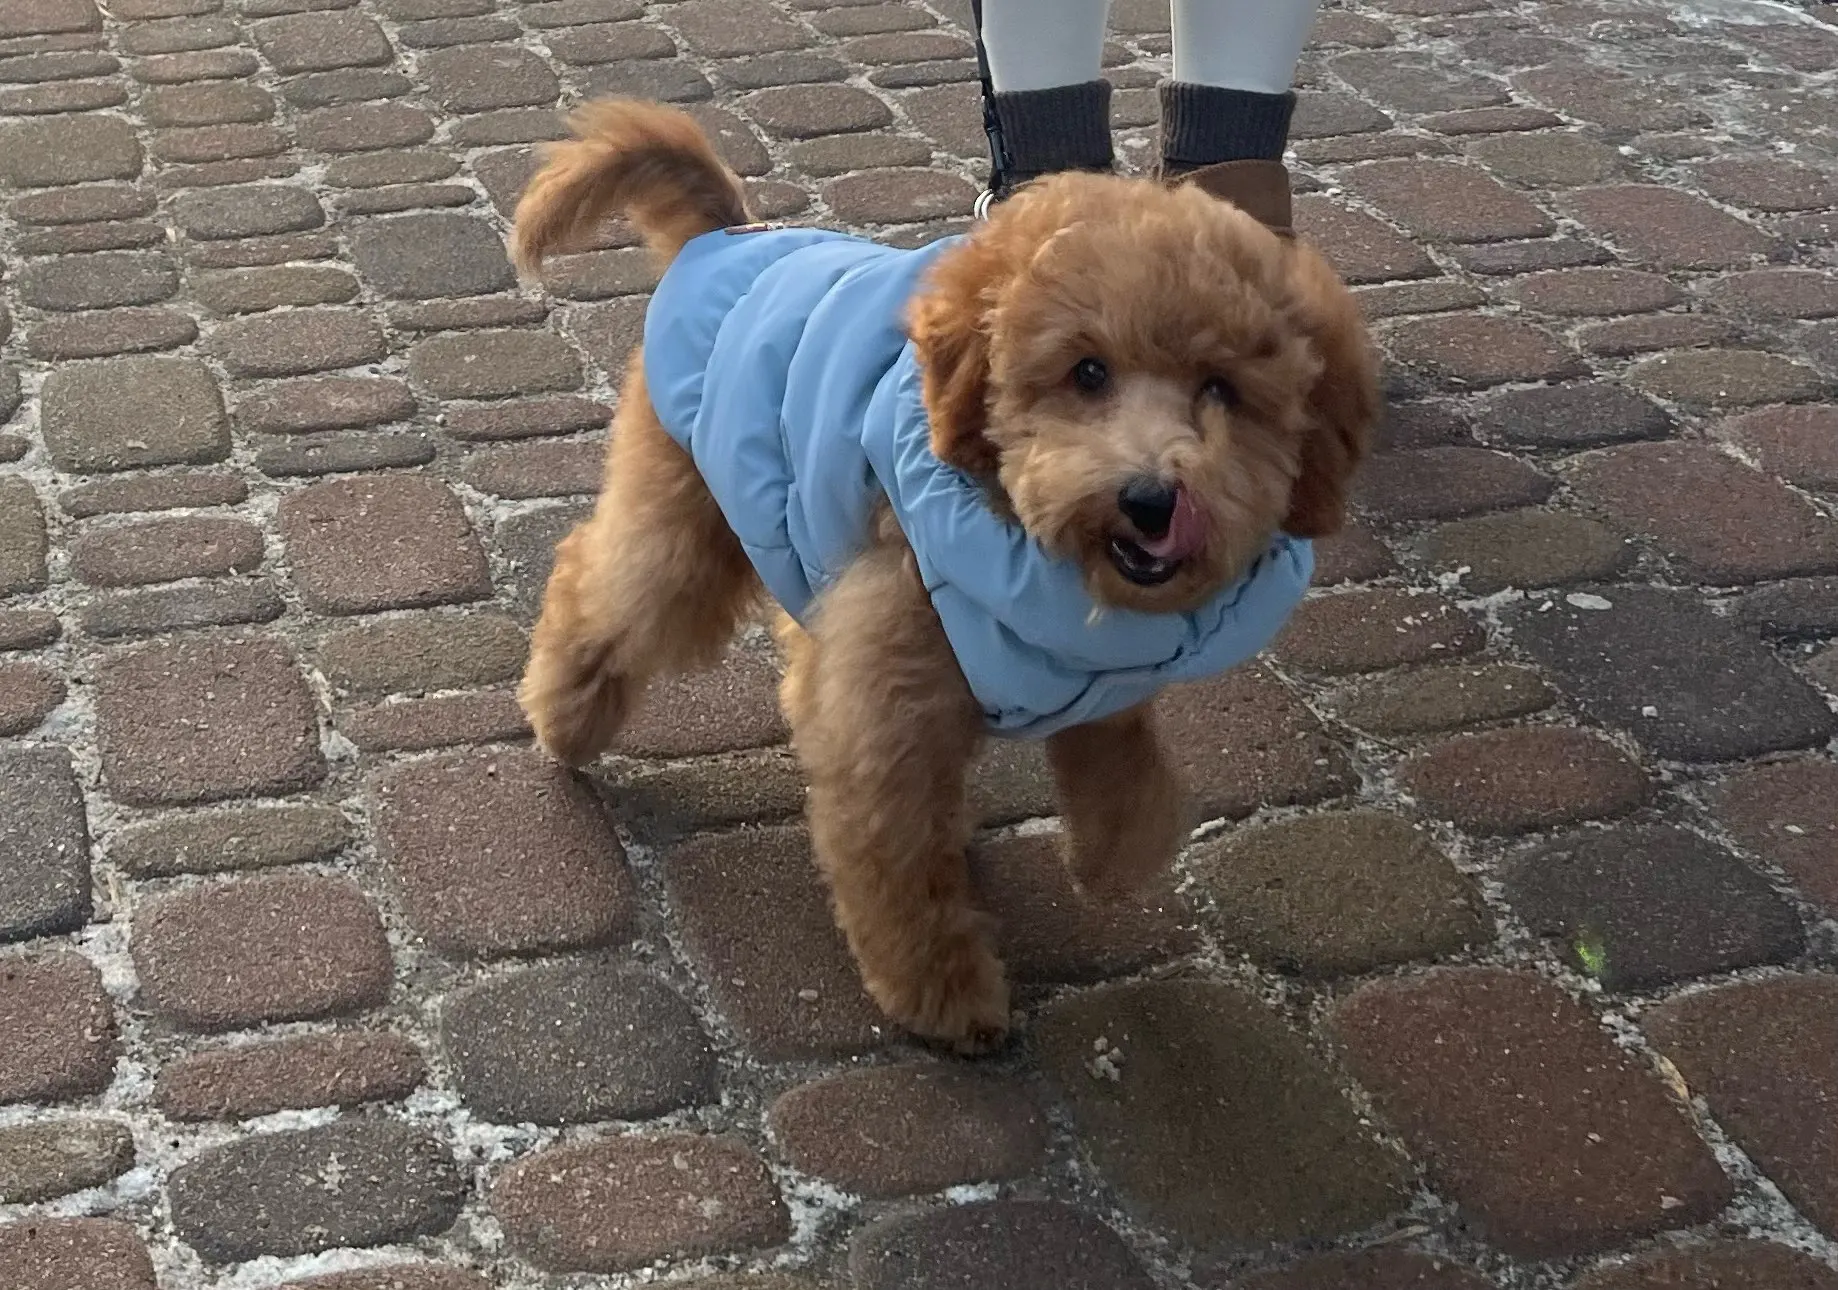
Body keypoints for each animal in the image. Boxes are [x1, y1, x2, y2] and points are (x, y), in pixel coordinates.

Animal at [511, 99, 1377, 1052]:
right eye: (1087, 371)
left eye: (1221, 389)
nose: (1151, 499)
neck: (1029, 562)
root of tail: (729, 236)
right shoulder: (888, 720)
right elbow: (902, 870)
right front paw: (944, 993)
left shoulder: (1092, 679)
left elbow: (1128, 767)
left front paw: (1115, 855)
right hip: (684, 520)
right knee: (599, 583)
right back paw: (565, 717)